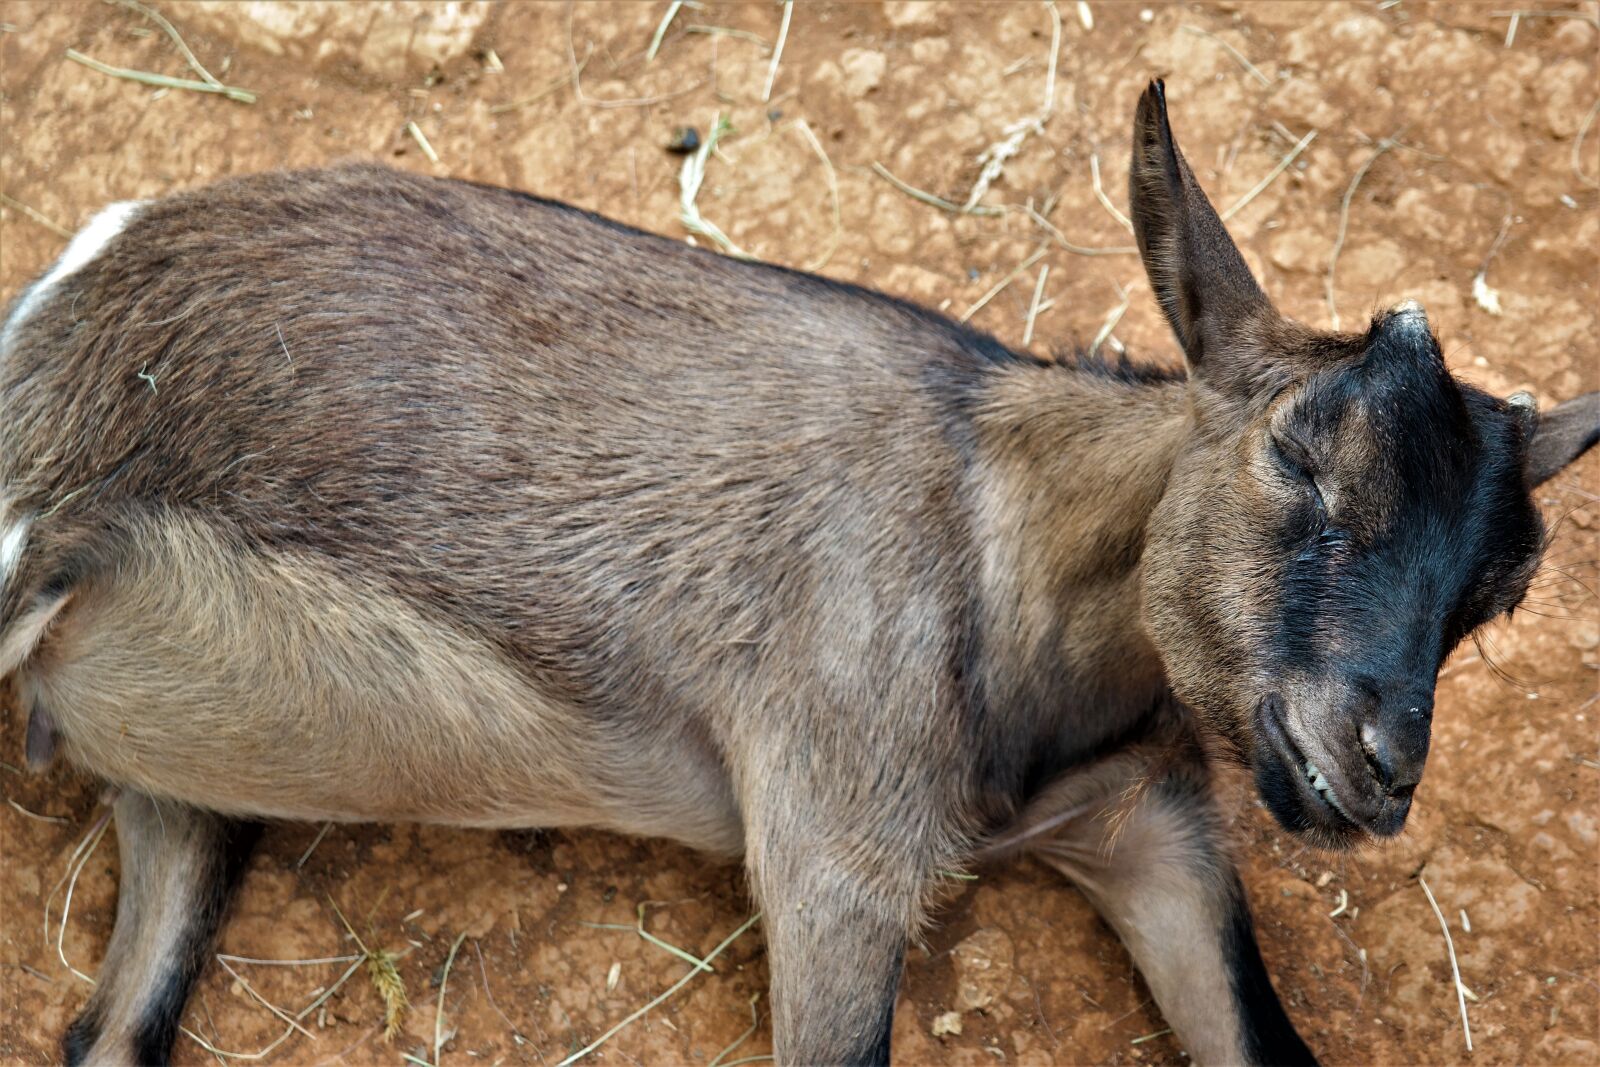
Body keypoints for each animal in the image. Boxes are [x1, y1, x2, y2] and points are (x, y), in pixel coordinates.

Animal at [9, 79, 1600, 1062]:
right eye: (1300, 454)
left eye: (1503, 592)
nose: (1375, 763)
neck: (1005, 558)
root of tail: (82, 275)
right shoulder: (834, 846)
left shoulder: (1157, 835)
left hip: (186, 785)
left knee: (112, 1026)